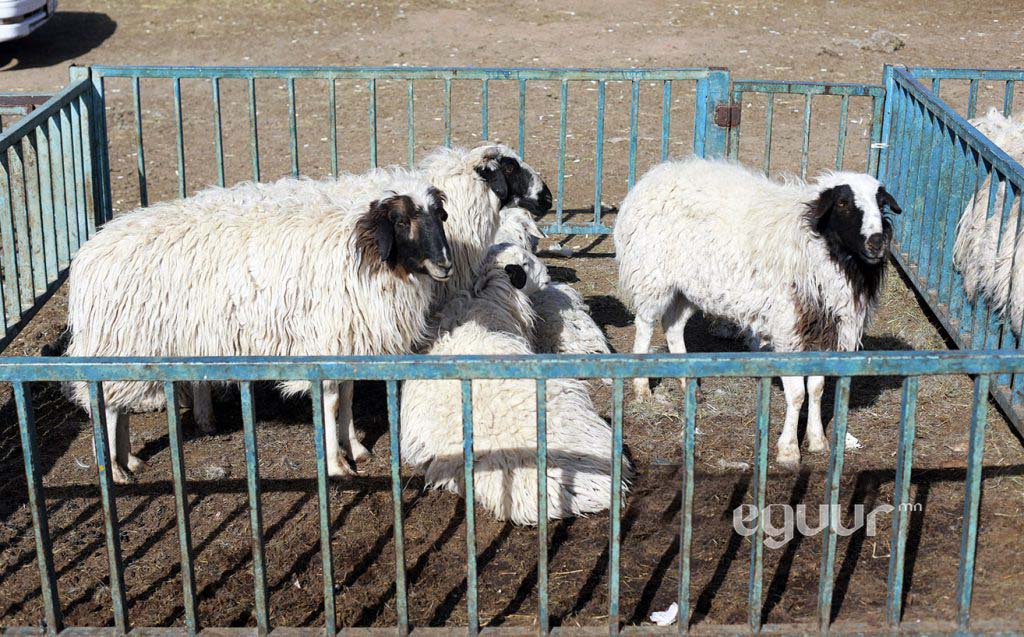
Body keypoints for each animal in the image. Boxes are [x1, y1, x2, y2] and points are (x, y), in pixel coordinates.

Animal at [64, 173, 453, 483]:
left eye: (439, 215)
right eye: (401, 221)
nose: (445, 265)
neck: (359, 249)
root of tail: (90, 252)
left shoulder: (347, 341)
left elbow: (347, 396)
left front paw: (355, 448)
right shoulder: (325, 343)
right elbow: (330, 404)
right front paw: (337, 464)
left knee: (117, 405)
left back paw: (129, 459)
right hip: (121, 342)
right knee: (107, 406)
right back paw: (115, 470)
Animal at [615, 157, 901, 469]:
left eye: (882, 204)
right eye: (842, 203)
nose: (876, 242)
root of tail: (655, 175)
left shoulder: (824, 332)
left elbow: (816, 389)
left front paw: (817, 441)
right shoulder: (788, 331)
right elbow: (797, 394)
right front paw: (789, 451)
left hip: (689, 287)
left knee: (673, 326)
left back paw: (688, 383)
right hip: (652, 276)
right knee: (646, 324)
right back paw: (642, 388)